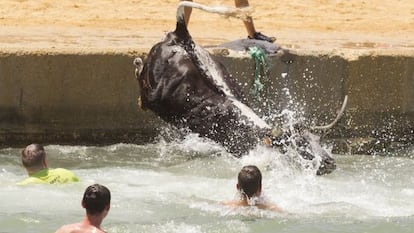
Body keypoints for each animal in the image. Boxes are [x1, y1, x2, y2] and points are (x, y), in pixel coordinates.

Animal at [134, 2, 338, 175]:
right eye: (301, 143)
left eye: (317, 139)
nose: (330, 163)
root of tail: (182, 35)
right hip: (155, 93)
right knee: (143, 89)